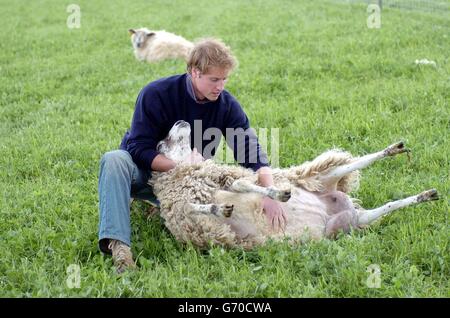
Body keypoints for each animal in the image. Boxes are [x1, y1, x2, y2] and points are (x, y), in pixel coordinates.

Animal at [149, 120, 440, 250]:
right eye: (161, 144)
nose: (180, 121)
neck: (184, 172)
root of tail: (343, 207)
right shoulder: (185, 214)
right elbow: (195, 207)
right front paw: (220, 209)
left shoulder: (223, 178)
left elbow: (243, 184)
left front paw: (276, 194)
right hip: (345, 224)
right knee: (386, 206)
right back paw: (426, 195)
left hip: (320, 176)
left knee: (355, 164)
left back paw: (394, 151)